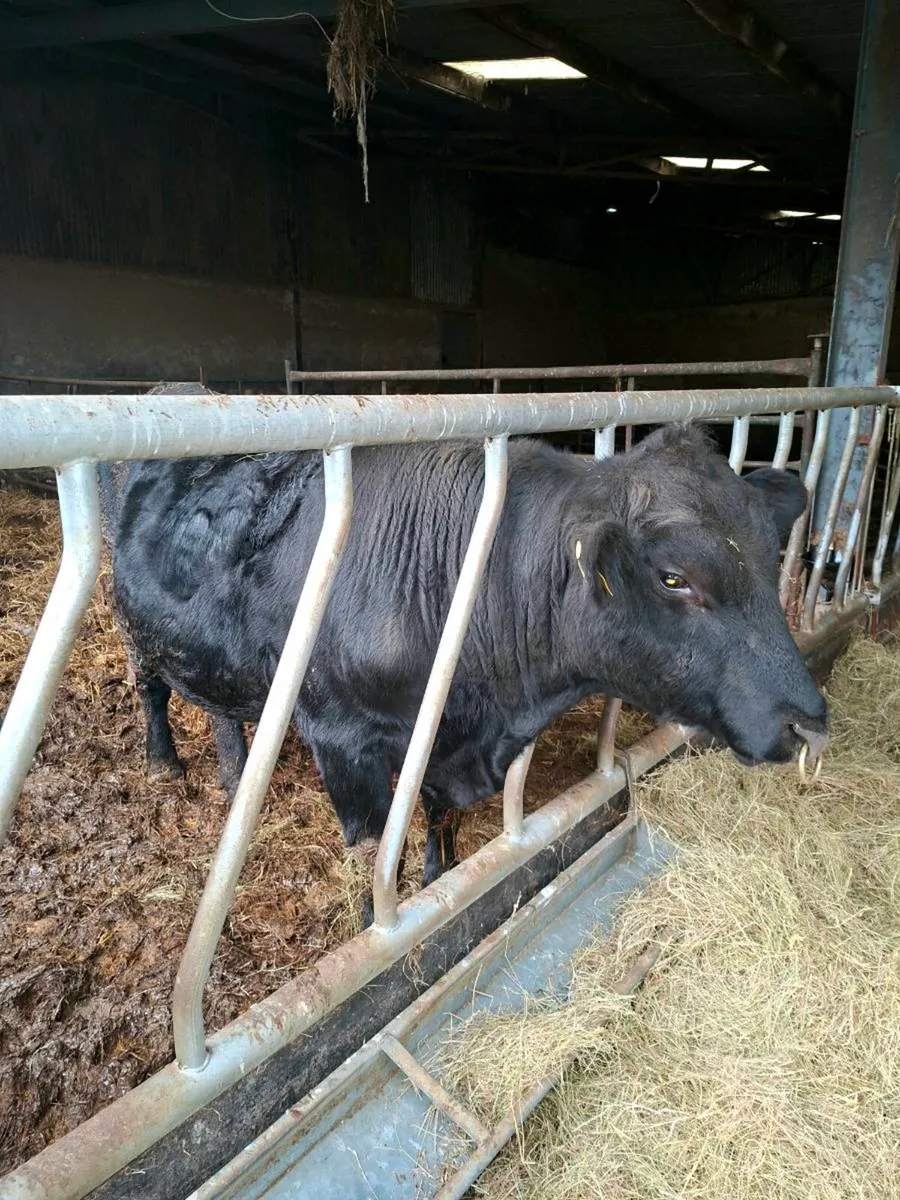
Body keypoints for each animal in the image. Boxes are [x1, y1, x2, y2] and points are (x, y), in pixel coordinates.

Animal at [100, 412, 828, 916]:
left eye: (771, 553)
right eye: (674, 578)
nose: (810, 723)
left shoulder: (441, 733)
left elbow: (436, 814)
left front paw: (437, 877)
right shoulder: (342, 739)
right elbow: (371, 850)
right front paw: (374, 921)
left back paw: (232, 772)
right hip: (134, 626)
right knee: (151, 690)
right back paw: (165, 761)